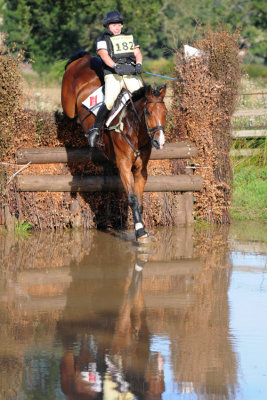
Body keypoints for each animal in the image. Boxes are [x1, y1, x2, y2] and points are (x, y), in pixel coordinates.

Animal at [62, 52, 168, 241]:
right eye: (148, 112)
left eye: (165, 113)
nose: (159, 141)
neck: (133, 128)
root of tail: (83, 58)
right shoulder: (124, 165)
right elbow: (132, 198)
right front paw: (139, 230)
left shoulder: (140, 169)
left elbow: (139, 199)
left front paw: (141, 227)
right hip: (68, 104)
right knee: (67, 113)